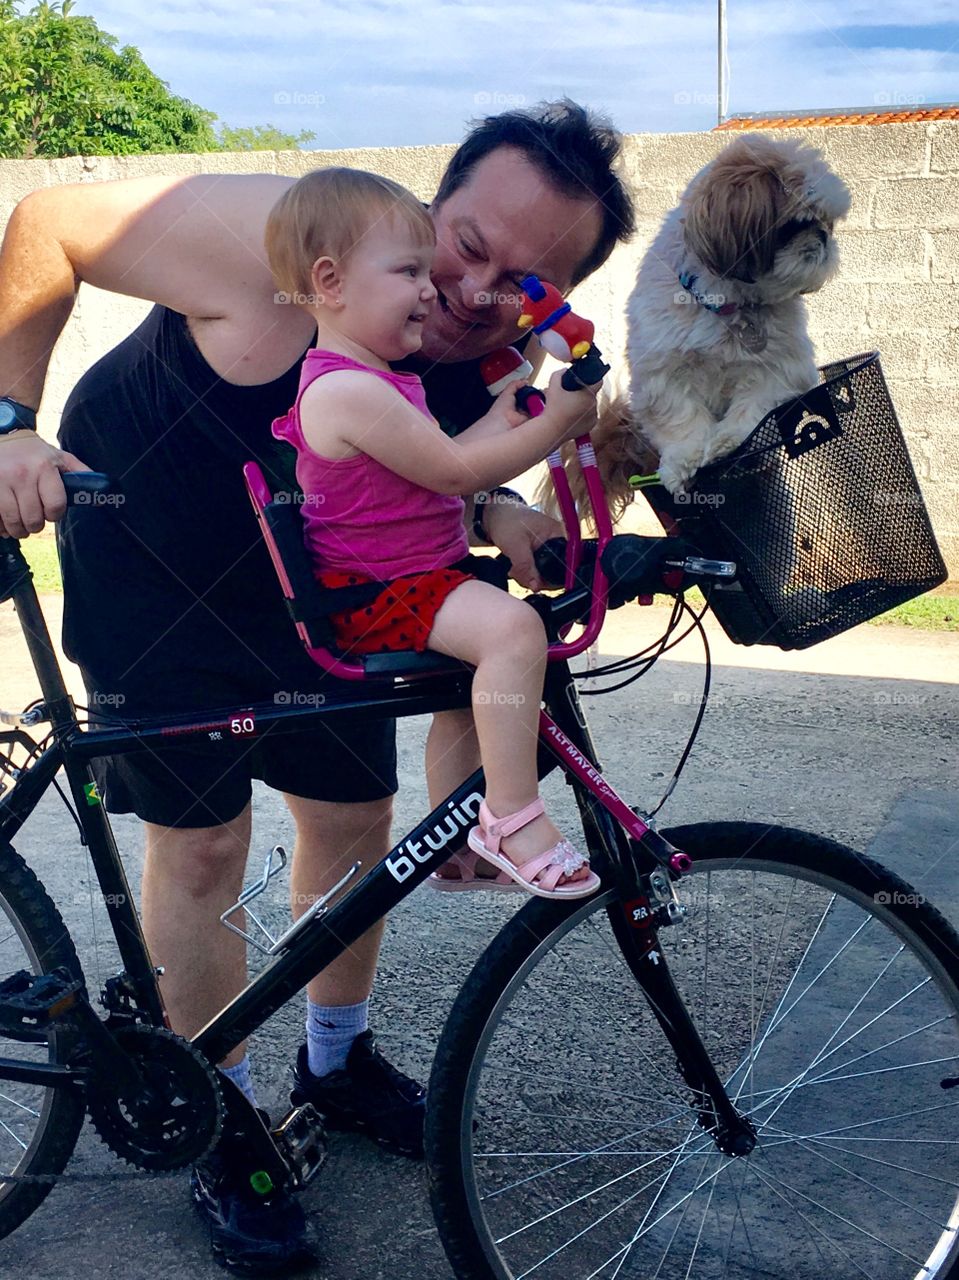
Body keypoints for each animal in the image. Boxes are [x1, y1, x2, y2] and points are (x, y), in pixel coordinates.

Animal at [550, 136, 850, 519]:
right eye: (797, 224)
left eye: (828, 222)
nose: (824, 237)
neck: (729, 304)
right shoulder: (663, 374)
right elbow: (680, 418)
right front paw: (685, 460)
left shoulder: (783, 367)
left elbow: (755, 405)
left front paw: (728, 442)